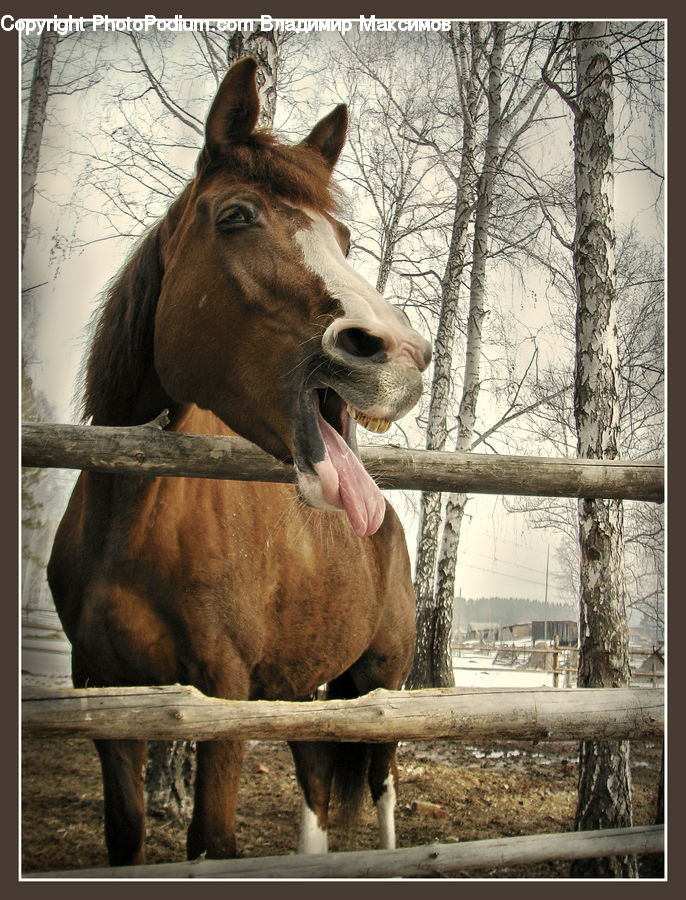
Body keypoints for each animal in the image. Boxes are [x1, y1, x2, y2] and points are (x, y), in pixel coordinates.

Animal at [47, 57, 432, 866]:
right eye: (236, 217)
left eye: (343, 238)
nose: (404, 355)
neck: (130, 522)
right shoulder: (106, 696)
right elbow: (125, 834)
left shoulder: (221, 694)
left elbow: (212, 839)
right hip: (297, 689)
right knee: (316, 782)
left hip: (382, 682)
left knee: (381, 785)